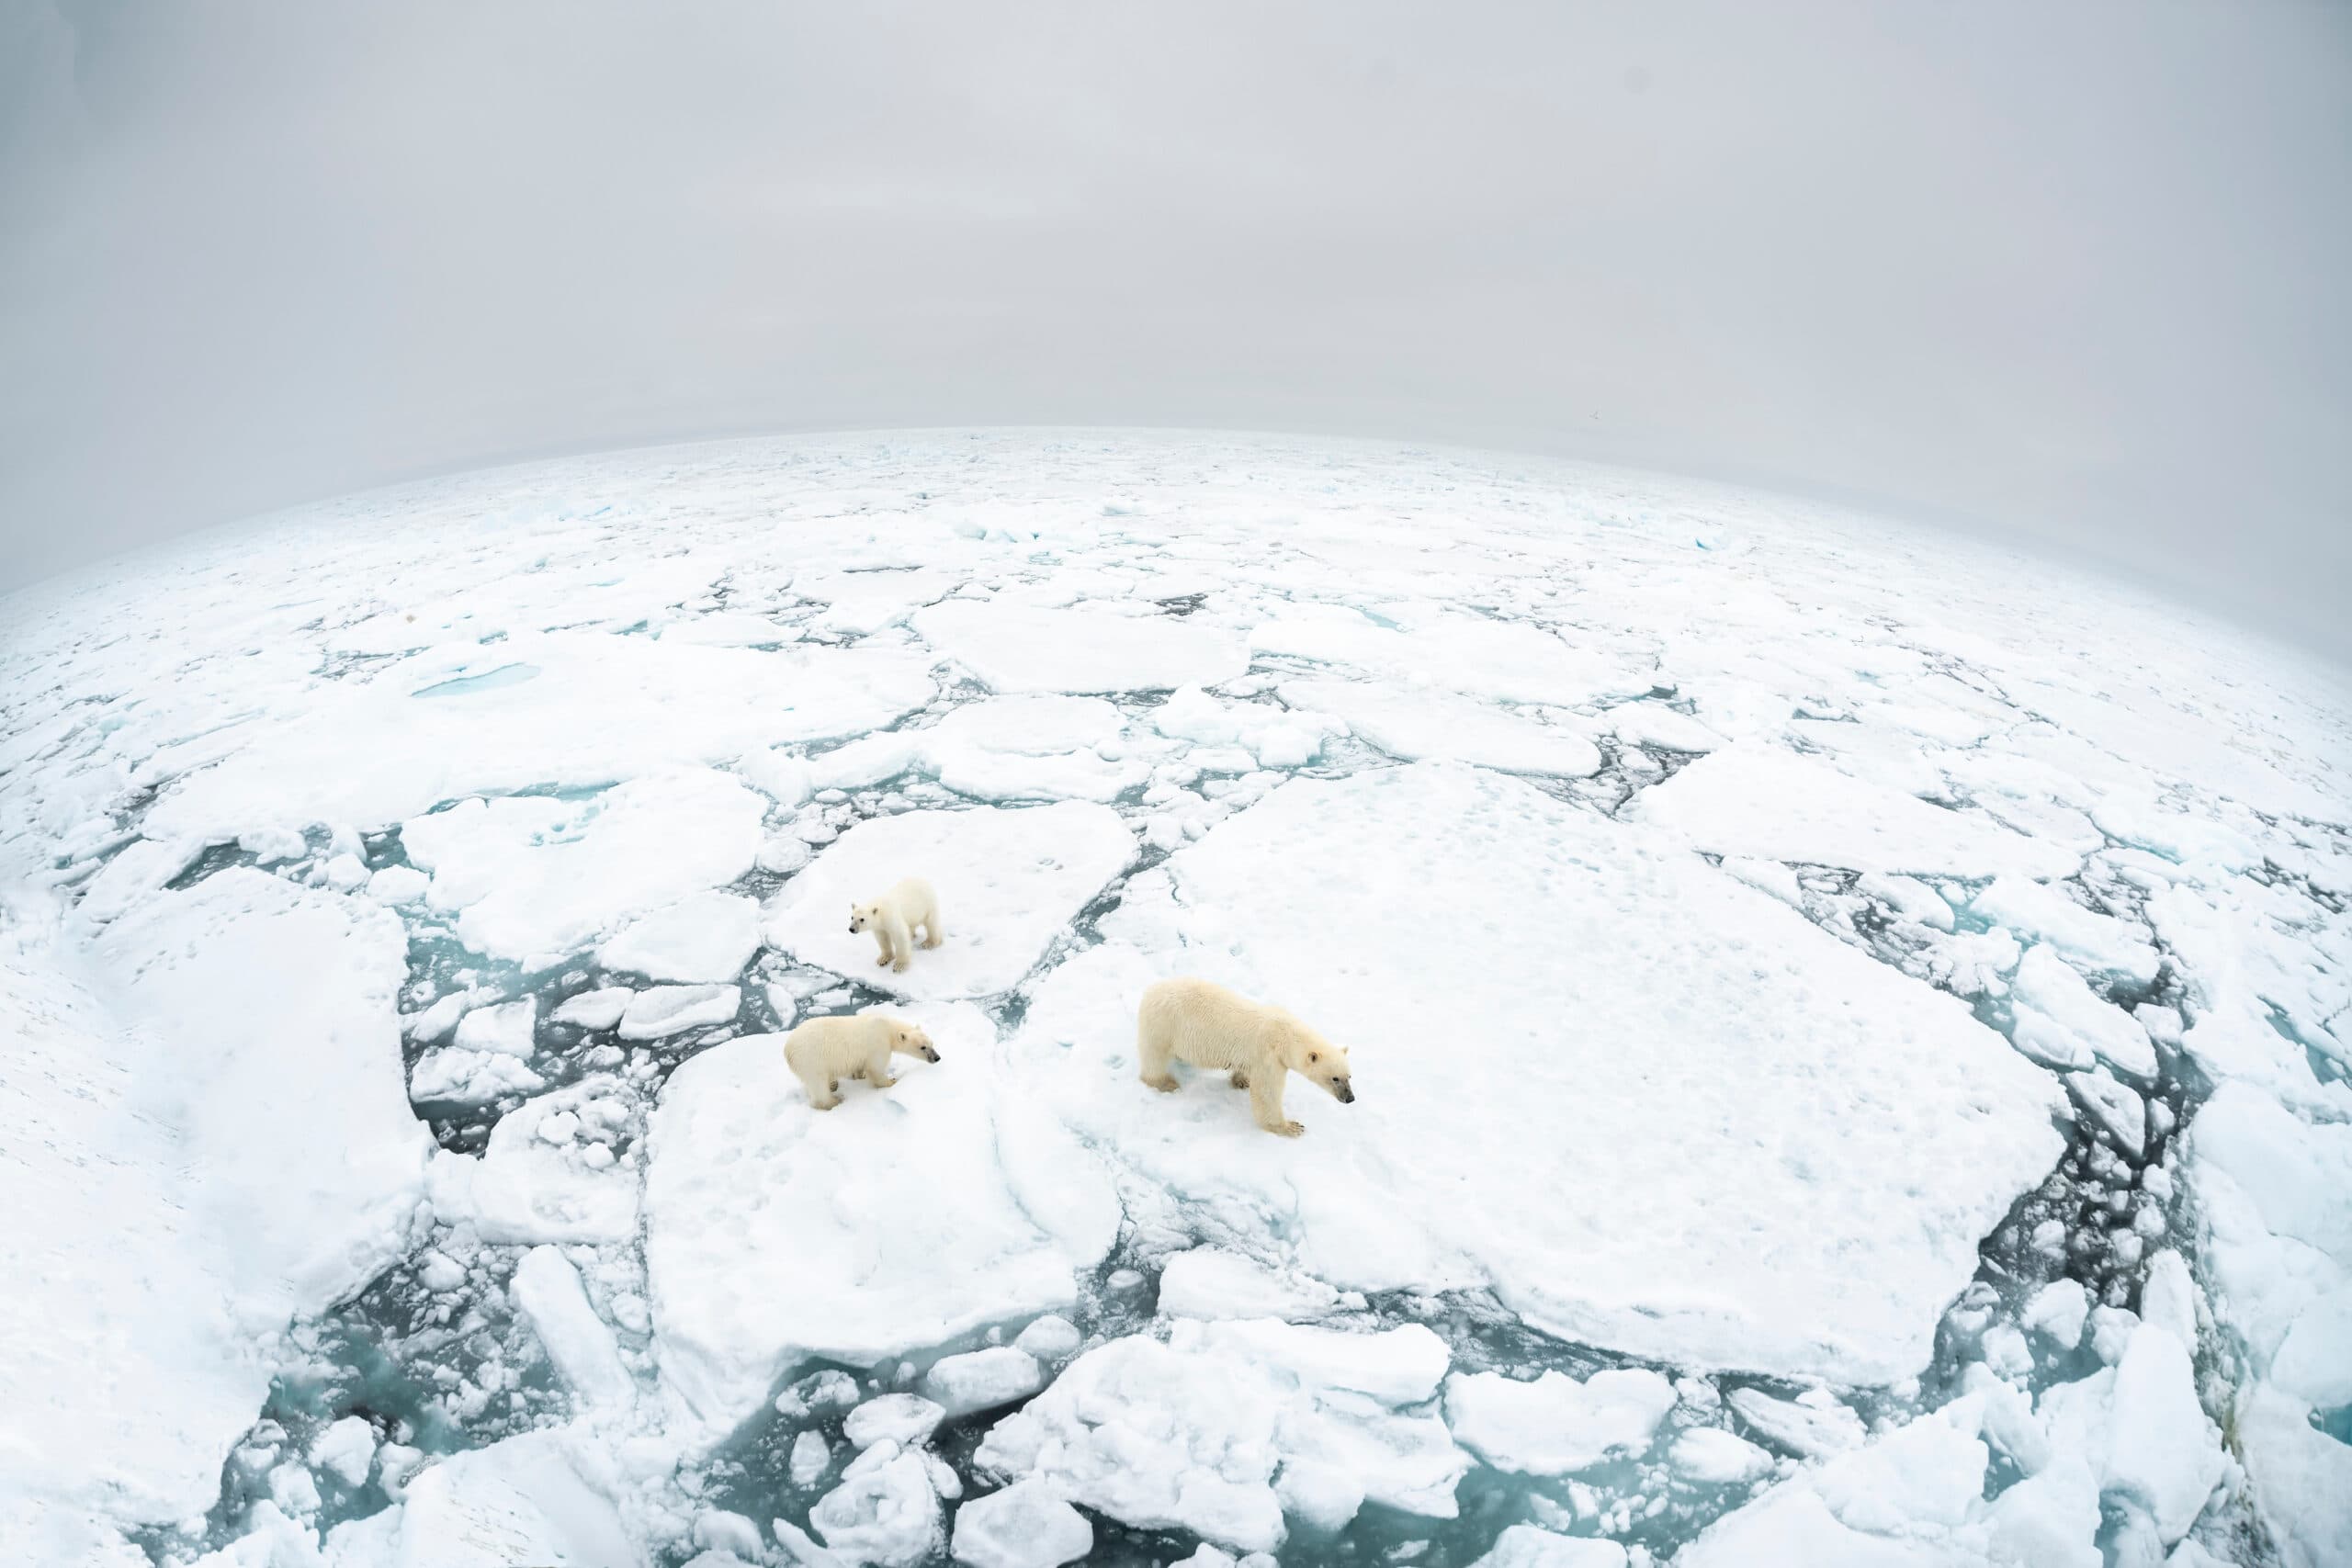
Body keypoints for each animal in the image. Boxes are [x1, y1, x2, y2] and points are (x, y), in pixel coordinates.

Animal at [784, 1012, 940, 1110]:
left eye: (932, 1043)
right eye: (923, 1047)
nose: (937, 1058)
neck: (887, 1028)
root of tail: (787, 1049)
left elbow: (860, 1067)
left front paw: (860, 1075)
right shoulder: (878, 1043)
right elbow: (876, 1068)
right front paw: (892, 1081)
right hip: (811, 1059)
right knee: (818, 1085)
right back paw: (835, 1101)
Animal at [1136, 976, 1354, 1137]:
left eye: (1349, 1076)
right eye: (1335, 1078)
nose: (1350, 1098)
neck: (1284, 1032)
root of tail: (1149, 992)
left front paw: (1241, 1081)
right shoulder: (1269, 1057)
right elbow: (1267, 1094)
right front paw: (1290, 1127)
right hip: (1164, 1025)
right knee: (1154, 1058)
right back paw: (1165, 1083)